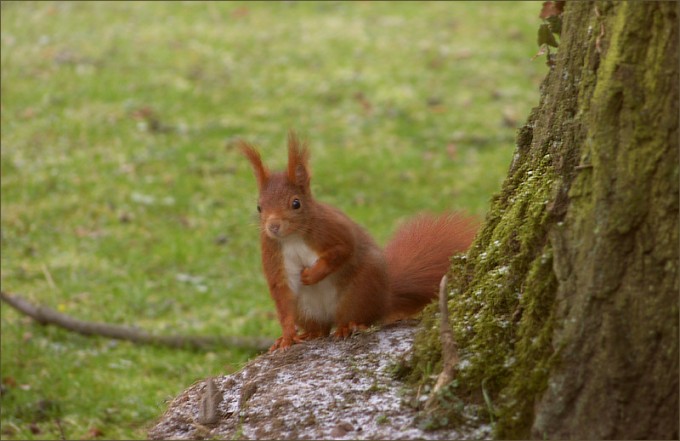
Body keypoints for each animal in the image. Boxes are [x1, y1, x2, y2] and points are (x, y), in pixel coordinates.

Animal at [240, 131, 478, 351]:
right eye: (259, 207)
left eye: (296, 203)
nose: (273, 226)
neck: (293, 237)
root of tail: (384, 300)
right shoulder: (273, 252)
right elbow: (282, 294)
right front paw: (287, 336)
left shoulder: (331, 230)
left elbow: (343, 249)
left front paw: (312, 274)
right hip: (306, 310)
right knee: (321, 328)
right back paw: (311, 333)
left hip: (360, 290)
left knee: (359, 318)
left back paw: (348, 326)